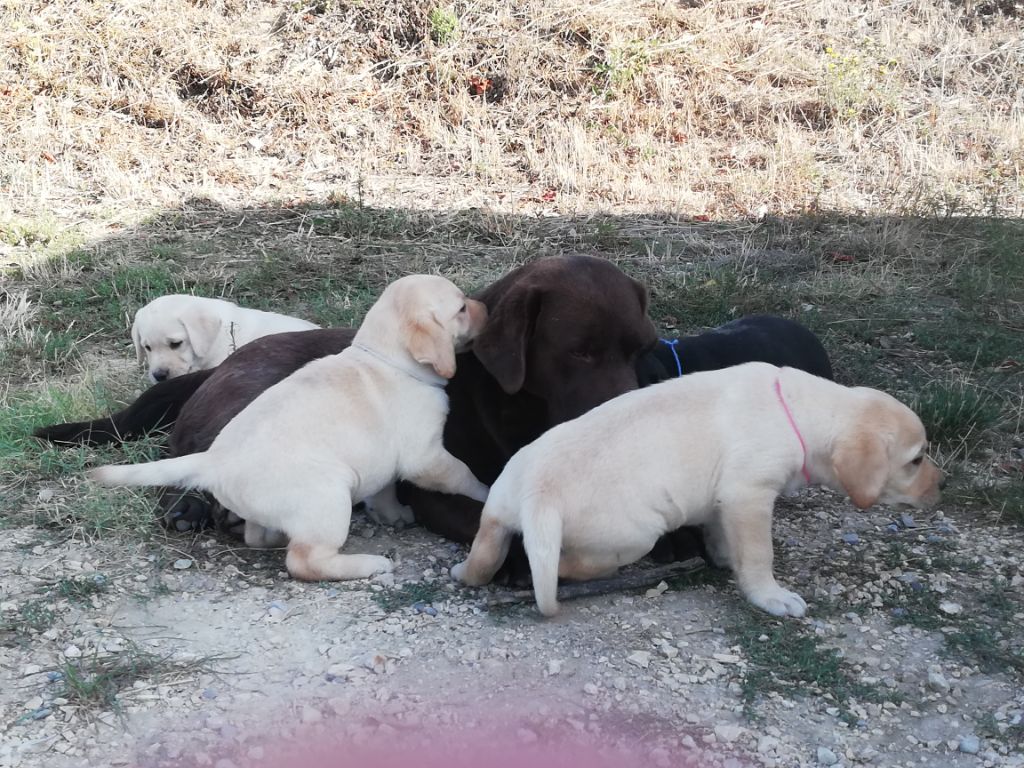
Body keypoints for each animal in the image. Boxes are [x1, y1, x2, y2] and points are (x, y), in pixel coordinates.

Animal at [454, 364, 942, 622]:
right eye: (916, 460)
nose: (943, 485)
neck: (799, 411)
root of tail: (539, 495)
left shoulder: (725, 499)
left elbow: (722, 533)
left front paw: (725, 558)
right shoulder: (749, 494)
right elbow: (759, 554)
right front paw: (771, 596)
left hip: (497, 506)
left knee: (486, 553)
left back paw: (465, 571)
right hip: (634, 535)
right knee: (567, 565)